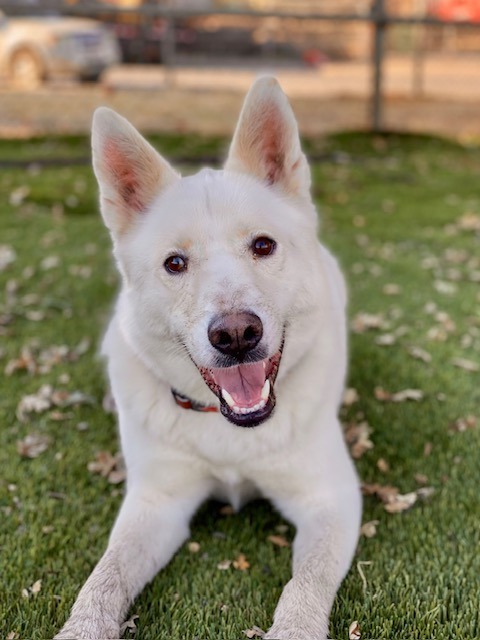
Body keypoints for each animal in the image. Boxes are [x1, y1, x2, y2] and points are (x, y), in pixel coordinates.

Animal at [55, 76, 360, 640]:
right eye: (175, 263)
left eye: (263, 245)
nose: (236, 335)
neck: (229, 430)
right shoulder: (157, 503)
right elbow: (104, 578)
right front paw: (81, 628)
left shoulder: (330, 498)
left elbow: (303, 587)